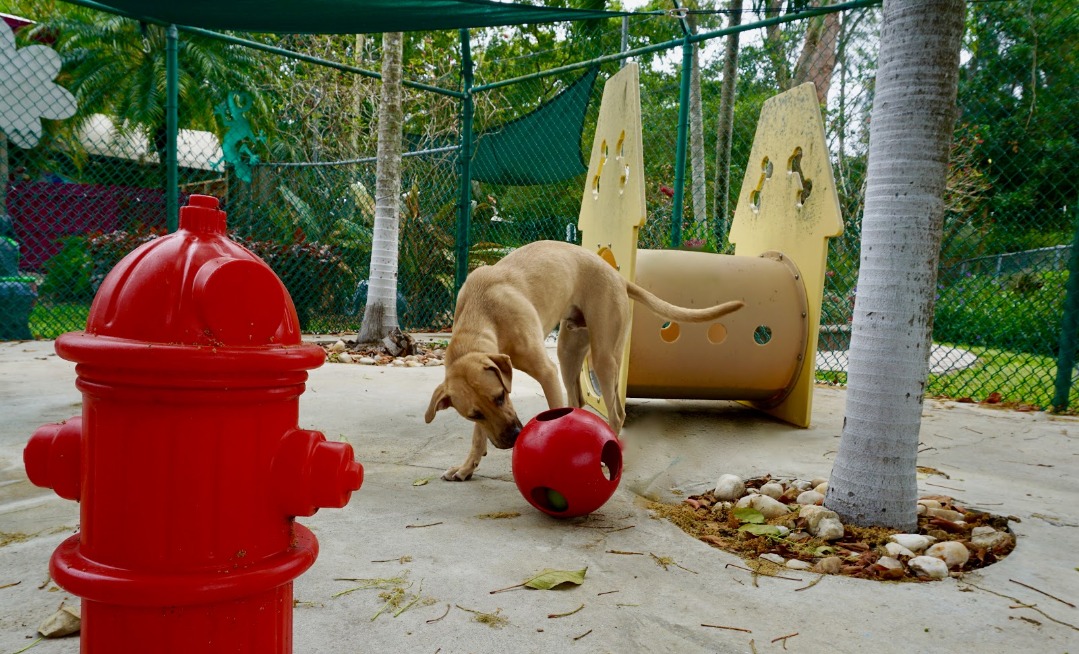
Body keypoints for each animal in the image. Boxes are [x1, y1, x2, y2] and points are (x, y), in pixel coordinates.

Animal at [425, 240, 744, 481]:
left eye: (501, 397)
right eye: (475, 414)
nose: (514, 436)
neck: (484, 314)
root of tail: (617, 276)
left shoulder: (546, 372)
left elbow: (554, 414)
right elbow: (478, 436)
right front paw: (467, 467)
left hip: (602, 357)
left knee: (616, 413)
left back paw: (608, 456)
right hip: (568, 352)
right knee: (577, 401)